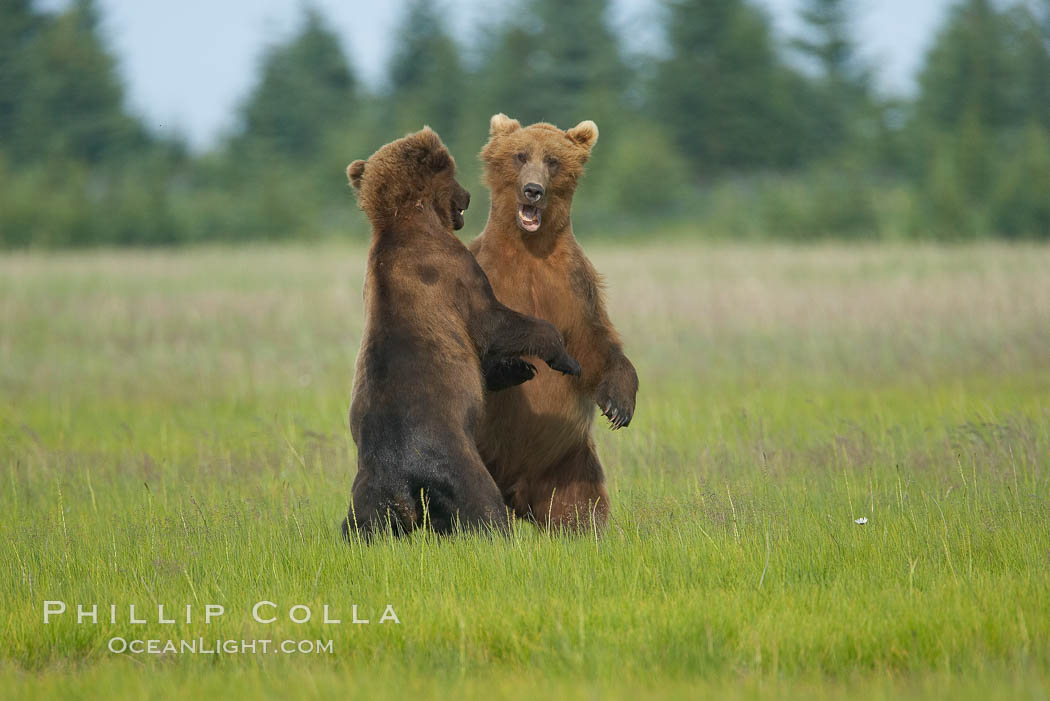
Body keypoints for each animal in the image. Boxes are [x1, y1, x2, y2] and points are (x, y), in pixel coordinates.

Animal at [470, 113, 638, 530]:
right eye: (520, 155)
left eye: (553, 161)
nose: (533, 190)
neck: (530, 250)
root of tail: (516, 493)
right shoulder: (486, 274)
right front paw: (513, 367)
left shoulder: (573, 286)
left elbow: (595, 343)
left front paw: (619, 404)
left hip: (569, 461)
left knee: (581, 503)